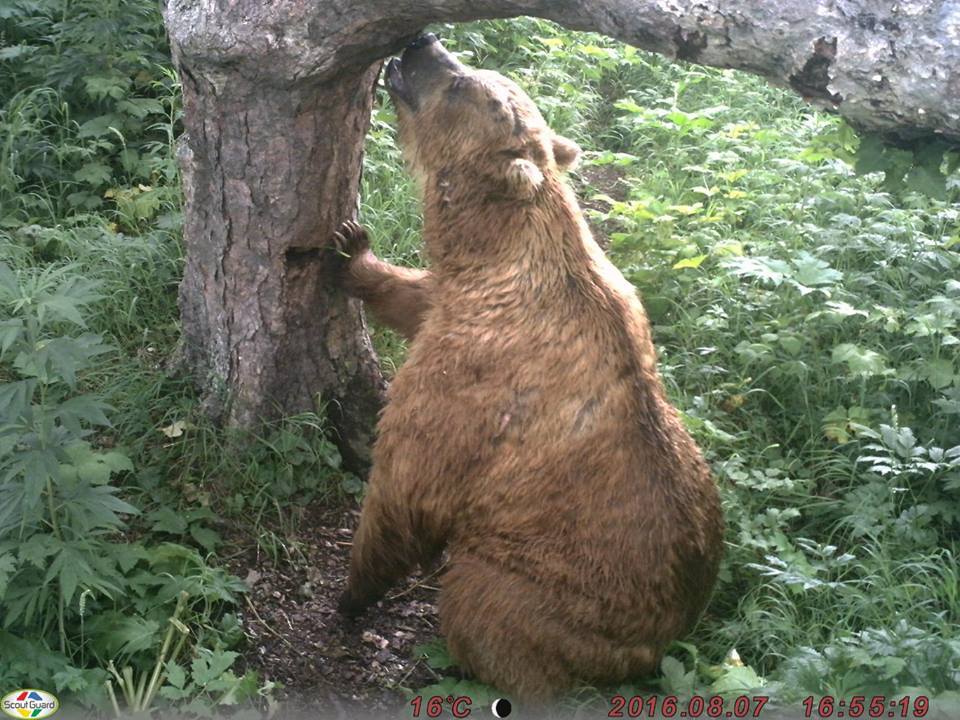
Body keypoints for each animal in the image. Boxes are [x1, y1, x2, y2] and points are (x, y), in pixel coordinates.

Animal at [334, 33, 724, 704]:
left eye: (463, 85)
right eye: (479, 71)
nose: (422, 41)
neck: (501, 256)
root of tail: (660, 644)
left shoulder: (477, 378)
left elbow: (408, 485)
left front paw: (351, 594)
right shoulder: (459, 299)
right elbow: (414, 297)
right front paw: (349, 248)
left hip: (546, 589)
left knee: (484, 610)